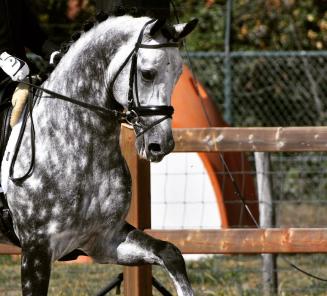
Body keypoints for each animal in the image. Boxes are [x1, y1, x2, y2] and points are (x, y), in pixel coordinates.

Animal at [0, 15, 197, 294]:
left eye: (178, 74)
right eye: (147, 73)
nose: (161, 144)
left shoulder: (104, 238)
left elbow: (170, 253)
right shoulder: (36, 249)